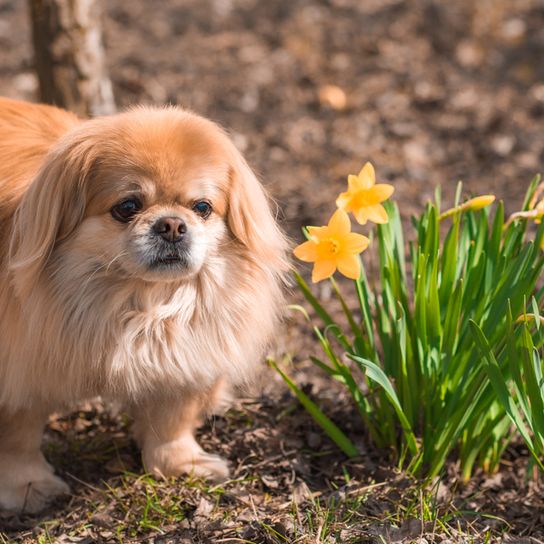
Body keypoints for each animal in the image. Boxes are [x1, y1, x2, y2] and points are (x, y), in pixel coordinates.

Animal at [0, 99, 288, 516]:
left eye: (202, 207)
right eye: (128, 207)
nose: (171, 225)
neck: (139, 302)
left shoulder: (184, 360)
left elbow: (172, 420)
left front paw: (179, 465)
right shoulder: (19, 372)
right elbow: (18, 436)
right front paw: (27, 487)